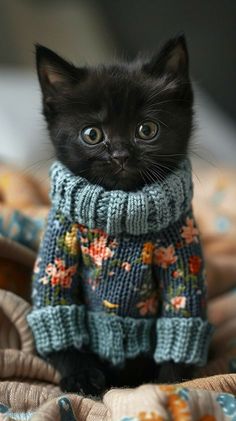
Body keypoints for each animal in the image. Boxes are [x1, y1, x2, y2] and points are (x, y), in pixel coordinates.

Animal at [35, 33, 194, 394]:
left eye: (146, 130)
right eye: (92, 134)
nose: (120, 154)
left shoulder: (181, 249)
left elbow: (180, 313)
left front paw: (171, 383)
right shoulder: (58, 245)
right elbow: (57, 306)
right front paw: (80, 376)